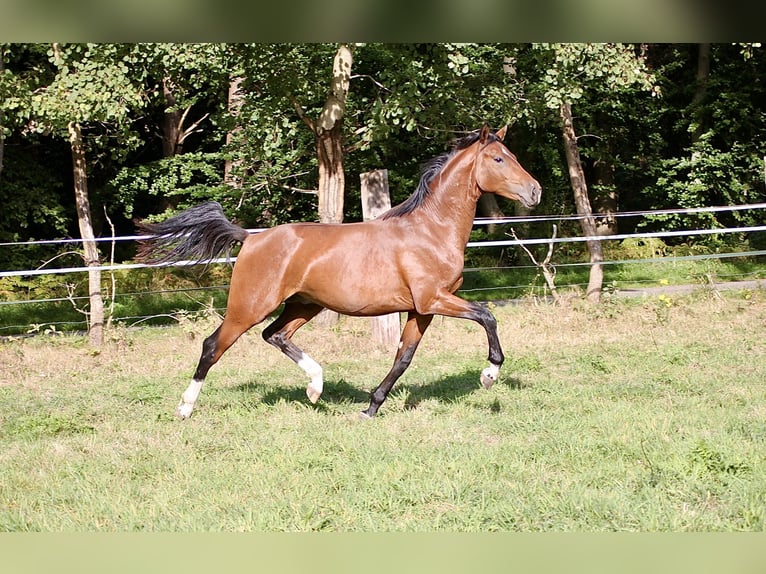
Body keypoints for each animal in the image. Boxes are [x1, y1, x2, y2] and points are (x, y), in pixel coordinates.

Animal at [140, 126, 544, 420]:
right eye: (498, 158)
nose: (535, 191)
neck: (430, 230)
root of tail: (250, 238)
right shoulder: (435, 299)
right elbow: (487, 316)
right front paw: (489, 375)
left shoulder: (421, 310)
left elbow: (402, 359)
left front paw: (371, 408)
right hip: (249, 306)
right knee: (213, 346)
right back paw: (185, 408)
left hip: (303, 305)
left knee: (275, 335)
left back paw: (315, 388)